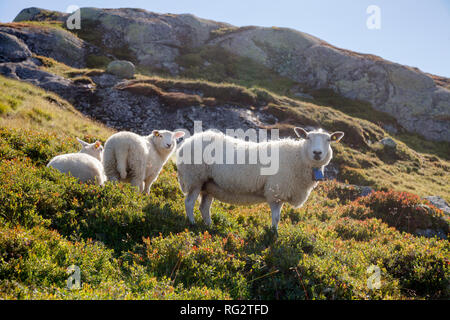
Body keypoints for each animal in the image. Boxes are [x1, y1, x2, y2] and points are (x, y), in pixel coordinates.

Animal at [176, 127, 344, 230]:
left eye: (329, 140)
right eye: (308, 137)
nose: (317, 153)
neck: (298, 157)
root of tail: (188, 140)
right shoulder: (276, 192)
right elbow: (276, 218)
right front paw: (273, 234)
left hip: (209, 184)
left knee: (204, 207)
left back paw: (209, 226)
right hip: (194, 178)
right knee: (189, 203)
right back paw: (192, 223)